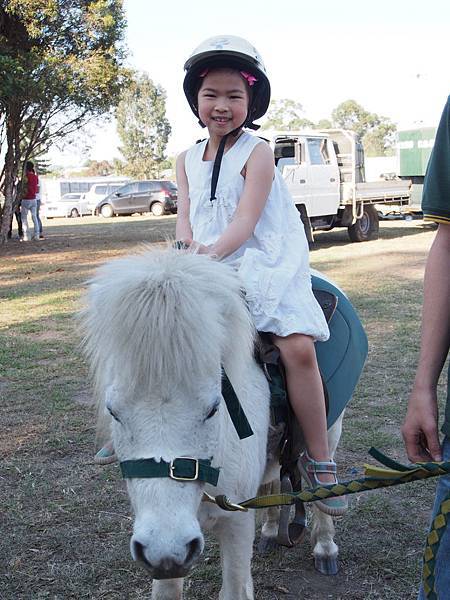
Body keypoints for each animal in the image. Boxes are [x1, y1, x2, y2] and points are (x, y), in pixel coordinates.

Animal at [81, 246, 342, 596]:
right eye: (113, 412)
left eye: (213, 408)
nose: (167, 548)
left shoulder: (236, 523)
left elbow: (235, 589)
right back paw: (271, 530)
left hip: (328, 432)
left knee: (318, 479)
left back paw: (325, 547)